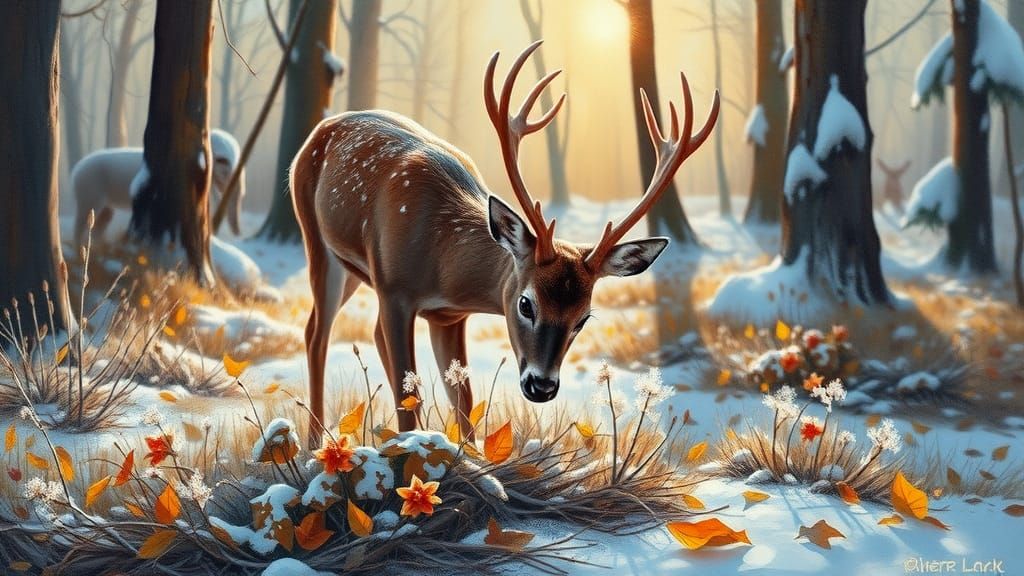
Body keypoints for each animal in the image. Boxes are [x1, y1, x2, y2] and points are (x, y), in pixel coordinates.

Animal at [291, 41, 719, 445]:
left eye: (583, 319)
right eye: (526, 304)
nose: (541, 386)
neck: (441, 260)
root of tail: (322, 127)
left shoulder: (449, 317)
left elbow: (462, 403)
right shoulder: (395, 290)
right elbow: (407, 398)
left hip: (354, 272)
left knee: (352, 334)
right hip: (317, 239)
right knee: (316, 333)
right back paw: (313, 442)